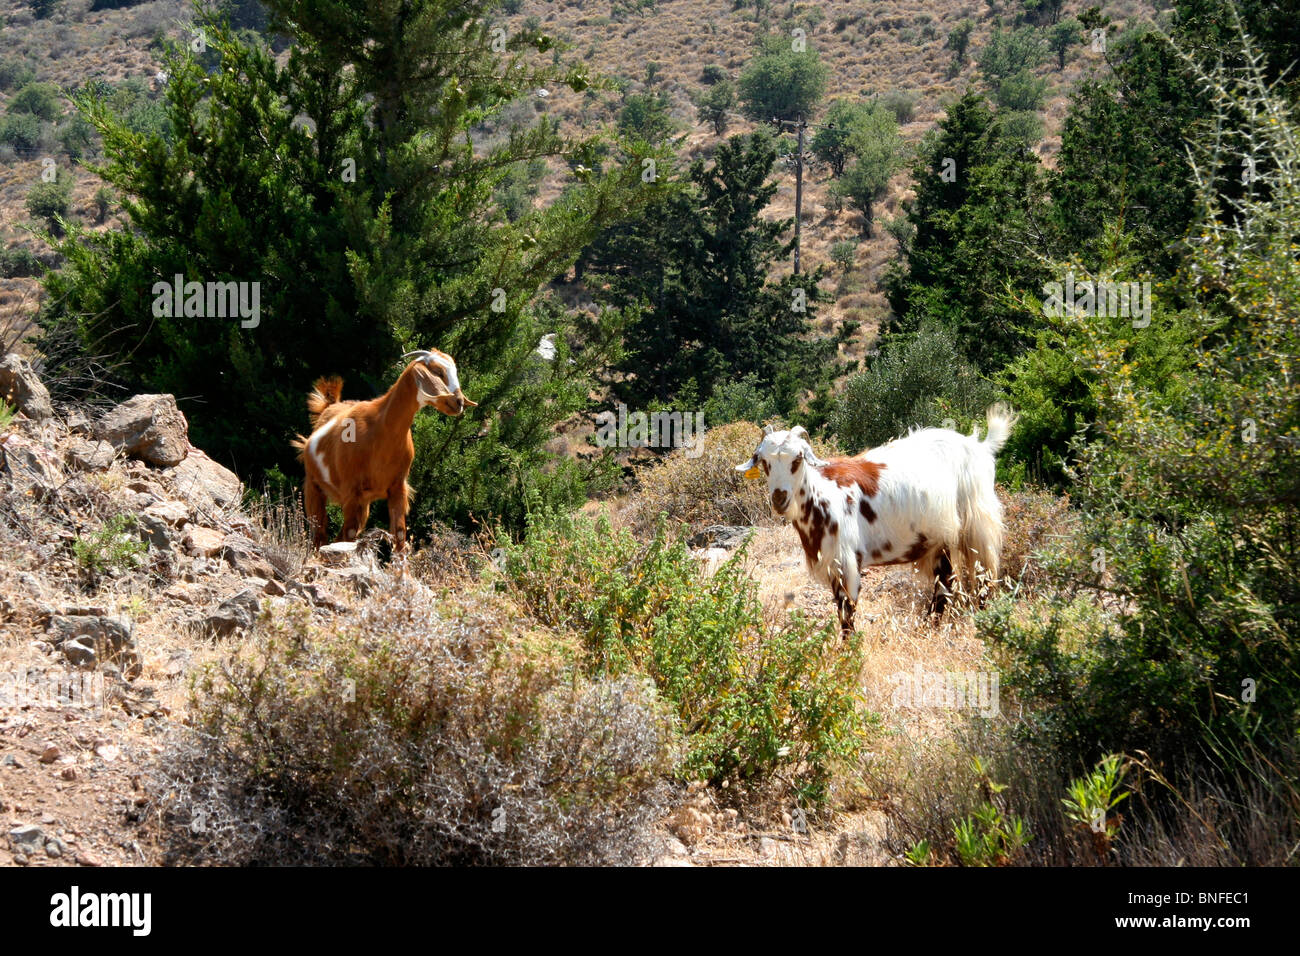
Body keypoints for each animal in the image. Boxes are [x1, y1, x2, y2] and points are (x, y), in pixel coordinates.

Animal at [291, 350, 476, 552]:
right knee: (320, 534)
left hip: (363, 503)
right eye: (438, 371)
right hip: (313, 487)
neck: (381, 427)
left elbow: (400, 533)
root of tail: (328, 407)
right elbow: (349, 533)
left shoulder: (398, 487)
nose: (458, 402)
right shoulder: (351, 490)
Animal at [735, 405, 1016, 636]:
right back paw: (930, 627)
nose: (779, 498)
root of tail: (979, 445)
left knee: (983, 575)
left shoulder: (847, 561)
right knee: (945, 584)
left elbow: (847, 613)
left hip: (978, 525)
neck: (823, 494)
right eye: (764, 462)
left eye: (797, 459)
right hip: (939, 540)